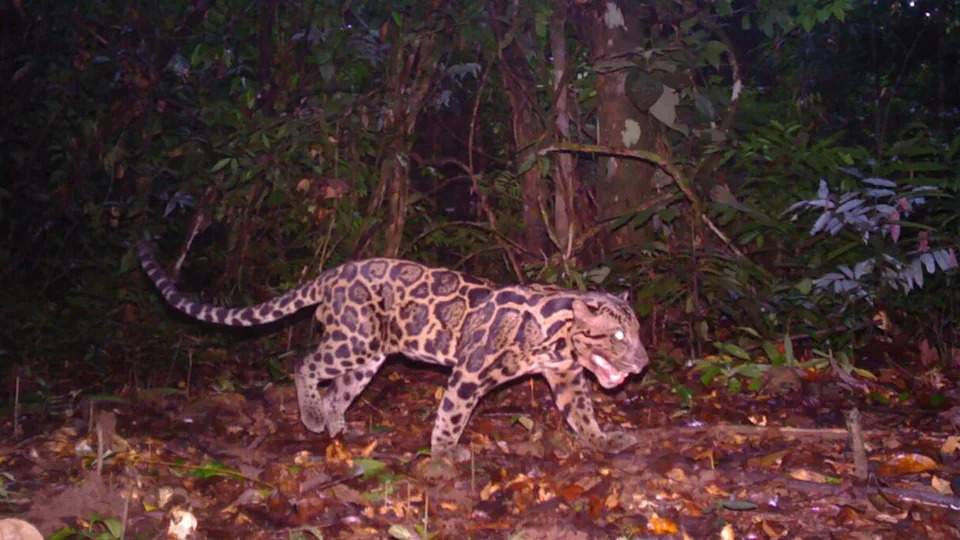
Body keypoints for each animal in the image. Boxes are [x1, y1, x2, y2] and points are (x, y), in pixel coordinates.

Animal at [137, 242, 649, 460]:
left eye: (638, 333)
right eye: (618, 337)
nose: (643, 361)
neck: (557, 335)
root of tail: (331, 274)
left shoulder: (566, 377)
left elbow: (581, 412)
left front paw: (603, 440)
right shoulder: (470, 371)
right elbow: (453, 414)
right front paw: (445, 453)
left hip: (367, 357)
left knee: (338, 389)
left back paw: (335, 425)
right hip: (353, 340)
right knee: (306, 365)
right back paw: (312, 417)